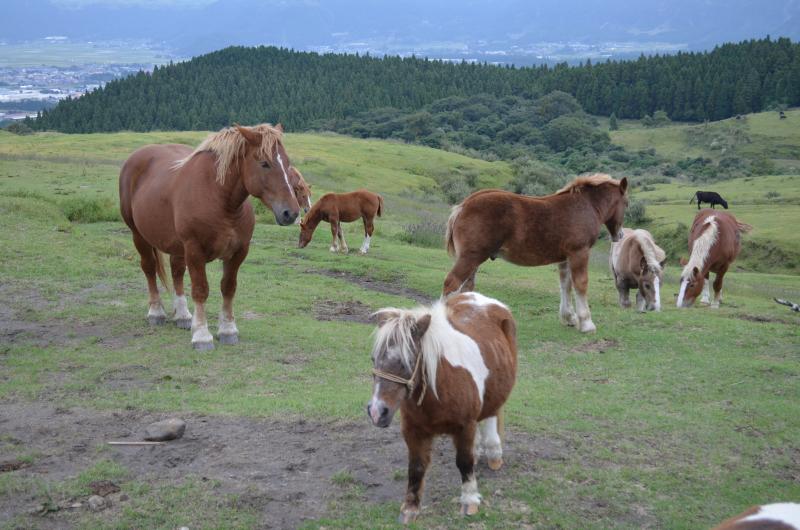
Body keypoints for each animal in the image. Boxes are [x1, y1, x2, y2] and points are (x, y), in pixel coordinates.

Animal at [120, 121, 302, 348]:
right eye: (264, 163)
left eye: (287, 162)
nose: (291, 213)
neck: (218, 198)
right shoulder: (194, 250)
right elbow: (200, 290)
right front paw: (201, 335)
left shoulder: (239, 252)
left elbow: (228, 288)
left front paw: (228, 330)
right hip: (139, 236)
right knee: (149, 268)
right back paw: (156, 312)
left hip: (176, 246)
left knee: (176, 272)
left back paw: (182, 316)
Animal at [368, 290, 520, 520]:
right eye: (373, 359)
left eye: (406, 362)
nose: (377, 412)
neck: (439, 390)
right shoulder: (412, 430)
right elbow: (416, 466)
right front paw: (410, 508)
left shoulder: (464, 426)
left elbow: (464, 462)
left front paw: (469, 501)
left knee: (492, 415)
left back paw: (494, 453)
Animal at [444, 173, 624, 330]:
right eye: (626, 203)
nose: (620, 235)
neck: (585, 206)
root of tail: (463, 205)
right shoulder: (579, 252)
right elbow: (581, 284)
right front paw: (587, 323)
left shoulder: (565, 258)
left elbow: (565, 285)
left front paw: (569, 318)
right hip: (470, 257)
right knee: (451, 283)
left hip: (473, 259)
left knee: (466, 288)